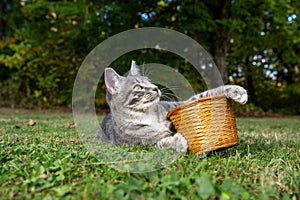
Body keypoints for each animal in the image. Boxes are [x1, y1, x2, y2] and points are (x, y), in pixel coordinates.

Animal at [96, 61, 248, 152]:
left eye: (149, 81)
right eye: (139, 87)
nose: (156, 88)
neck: (147, 114)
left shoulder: (176, 105)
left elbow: (203, 95)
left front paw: (236, 91)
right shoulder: (141, 143)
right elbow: (161, 143)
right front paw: (179, 142)